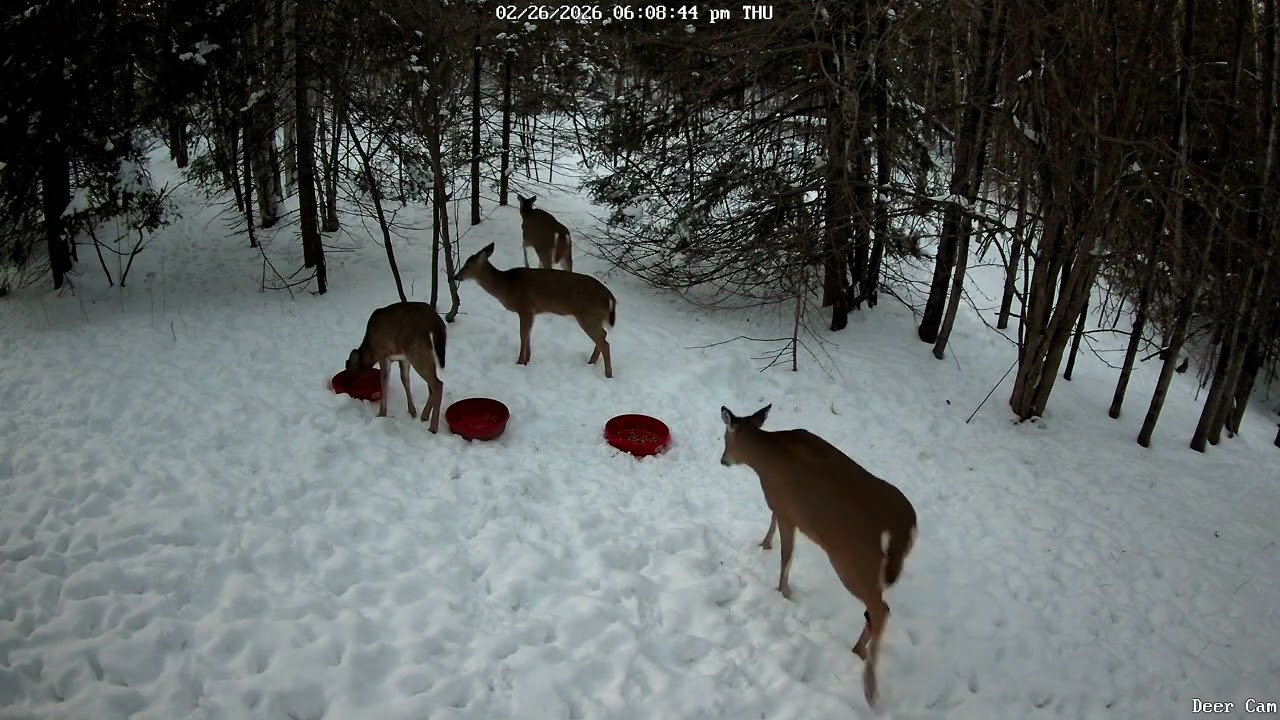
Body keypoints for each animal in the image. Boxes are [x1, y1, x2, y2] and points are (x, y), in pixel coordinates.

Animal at [345, 302, 447, 433]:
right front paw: (412, 411)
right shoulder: (403, 358)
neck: (370, 350)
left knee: (437, 384)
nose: (348, 384)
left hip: (416, 350)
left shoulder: (383, 354)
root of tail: (435, 321)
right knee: (432, 385)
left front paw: (381, 414)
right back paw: (424, 416)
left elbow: (384, 380)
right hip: (423, 353)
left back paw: (433, 428)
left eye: (349, 370)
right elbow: (405, 380)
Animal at [454, 242, 616, 378]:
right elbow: (528, 334)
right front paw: (527, 361)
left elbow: (523, 334)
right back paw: (591, 362)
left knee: (605, 342)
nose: (456, 276)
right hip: (594, 317)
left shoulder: (524, 307)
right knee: (604, 335)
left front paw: (519, 362)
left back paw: (608, 374)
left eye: (468, 265)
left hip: (588, 316)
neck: (506, 286)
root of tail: (610, 297)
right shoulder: (531, 312)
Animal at [718, 404, 918, 708]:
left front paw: (784, 591)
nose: (723, 460)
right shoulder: (781, 506)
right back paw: (857, 651)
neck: (765, 459)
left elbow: (787, 555)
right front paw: (764, 544)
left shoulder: (787, 510)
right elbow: (773, 522)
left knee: (880, 609)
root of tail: (902, 524)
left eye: (723, 437)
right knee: (875, 611)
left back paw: (869, 687)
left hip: (853, 561)